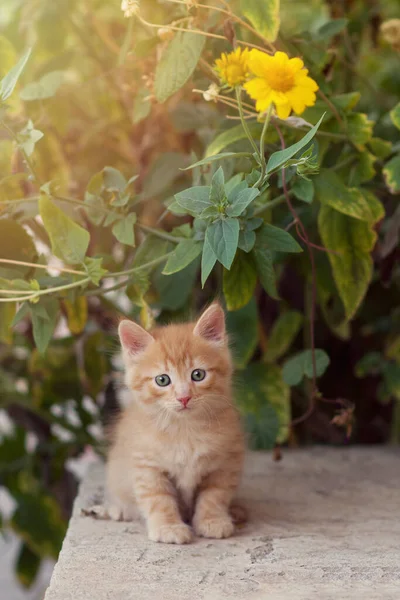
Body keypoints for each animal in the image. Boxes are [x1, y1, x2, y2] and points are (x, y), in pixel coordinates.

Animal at [104, 304, 245, 544]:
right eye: (162, 380)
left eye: (198, 374)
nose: (184, 397)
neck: (184, 429)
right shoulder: (147, 465)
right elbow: (158, 499)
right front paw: (168, 527)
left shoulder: (226, 462)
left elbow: (215, 495)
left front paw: (213, 520)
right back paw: (119, 510)